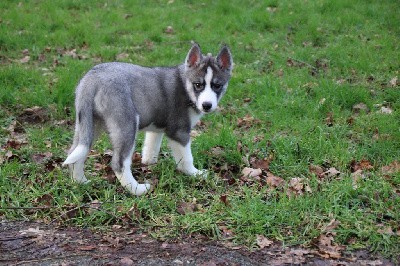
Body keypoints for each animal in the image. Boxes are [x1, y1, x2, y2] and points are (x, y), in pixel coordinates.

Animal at [62, 42, 231, 195]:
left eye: (217, 86)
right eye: (198, 85)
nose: (207, 105)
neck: (185, 85)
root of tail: (91, 79)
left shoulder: (156, 128)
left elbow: (151, 147)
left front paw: (149, 163)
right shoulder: (179, 131)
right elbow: (186, 159)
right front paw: (196, 174)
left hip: (88, 124)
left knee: (75, 153)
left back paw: (81, 182)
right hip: (127, 124)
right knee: (119, 163)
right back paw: (138, 190)